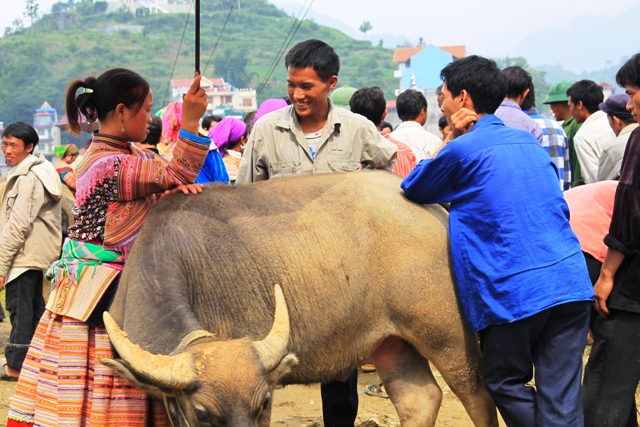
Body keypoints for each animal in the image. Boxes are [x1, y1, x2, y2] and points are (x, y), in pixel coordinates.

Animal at [102, 171, 498, 427]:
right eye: (202, 415)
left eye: (264, 403)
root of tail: (434, 210)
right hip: (392, 343)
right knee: (421, 400)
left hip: (447, 337)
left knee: (477, 395)